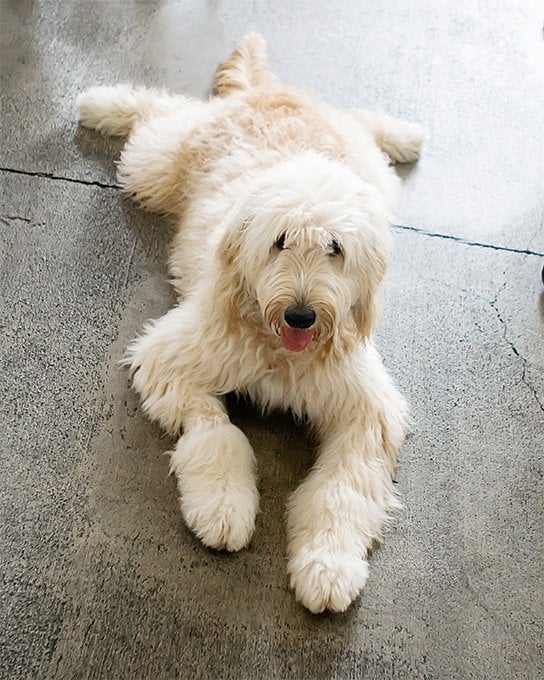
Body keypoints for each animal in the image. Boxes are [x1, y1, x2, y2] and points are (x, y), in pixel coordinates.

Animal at [76, 33, 424, 616]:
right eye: (280, 241)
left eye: (335, 248)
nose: (301, 314)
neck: (280, 351)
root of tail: (267, 92)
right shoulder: (172, 358)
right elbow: (219, 434)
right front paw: (222, 508)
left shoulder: (366, 411)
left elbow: (343, 486)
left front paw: (327, 566)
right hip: (158, 164)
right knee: (156, 111)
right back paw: (100, 103)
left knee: (357, 117)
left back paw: (404, 134)